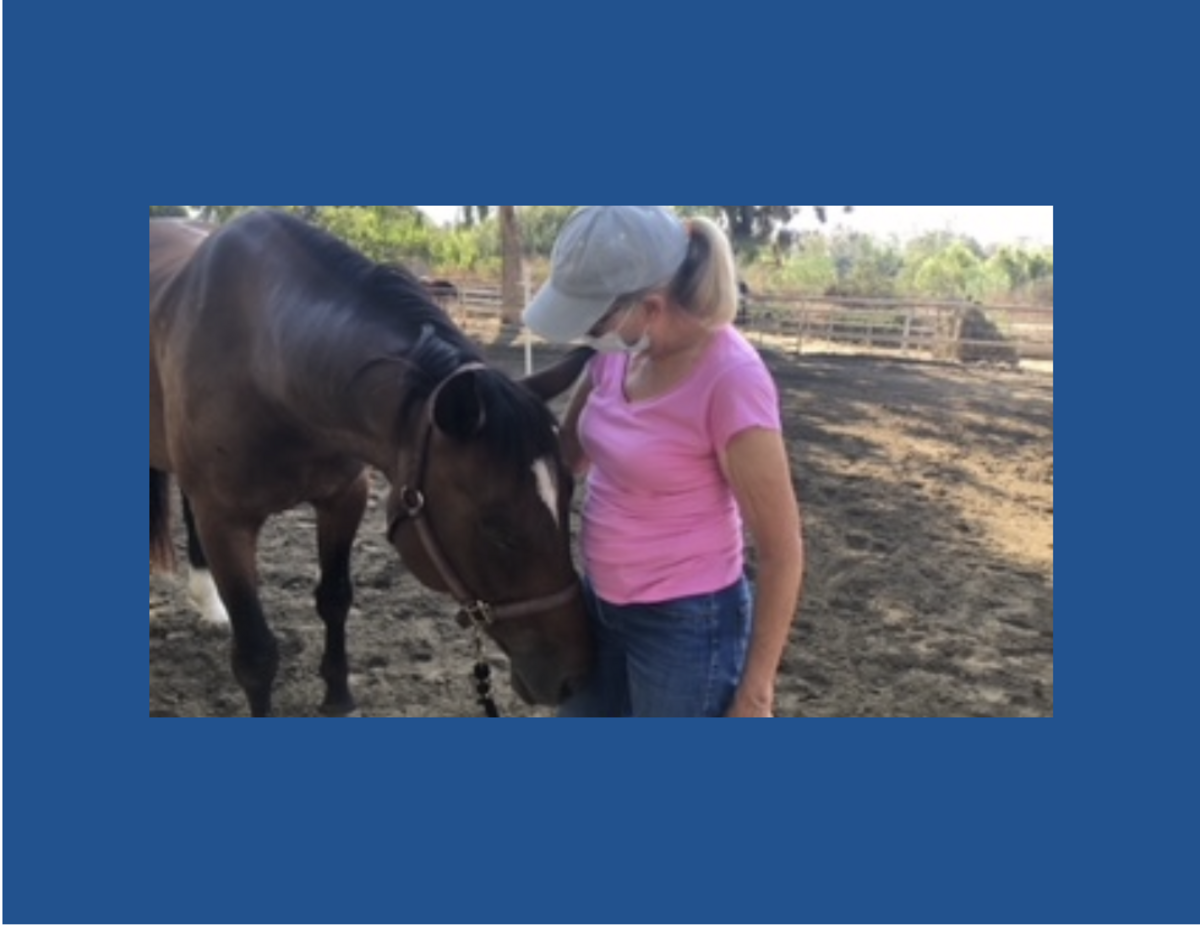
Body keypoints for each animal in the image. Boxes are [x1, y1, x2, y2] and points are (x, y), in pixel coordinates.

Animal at [150, 209, 595, 717]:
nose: (574, 677)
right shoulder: (226, 522)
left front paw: (339, 698)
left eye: (568, 499)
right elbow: (257, 654)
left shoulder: (344, 498)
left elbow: (335, 599)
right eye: (495, 527)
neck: (265, 360)